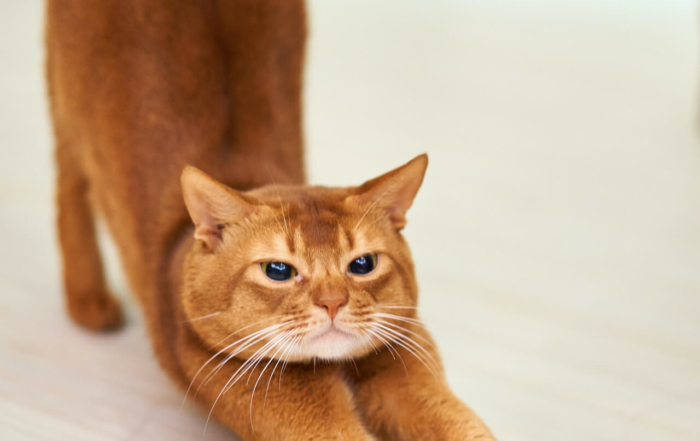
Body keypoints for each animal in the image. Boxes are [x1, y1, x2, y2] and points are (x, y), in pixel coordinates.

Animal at [46, 1, 494, 438]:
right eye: (278, 270)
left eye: (363, 264)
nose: (333, 302)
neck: (338, 366)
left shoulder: (406, 360)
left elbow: (466, 428)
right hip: (67, 109)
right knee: (70, 187)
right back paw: (89, 301)